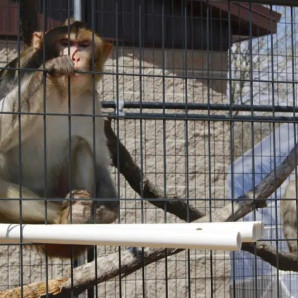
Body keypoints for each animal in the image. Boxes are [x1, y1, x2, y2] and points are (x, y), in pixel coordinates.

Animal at [0, 21, 117, 258]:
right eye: (65, 42)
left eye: (83, 45)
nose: (74, 56)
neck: (63, 92)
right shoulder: (16, 72)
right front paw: (52, 68)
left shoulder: (92, 102)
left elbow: (99, 158)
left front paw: (107, 211)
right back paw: (64, 217)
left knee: (81, 145)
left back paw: (80, 217)